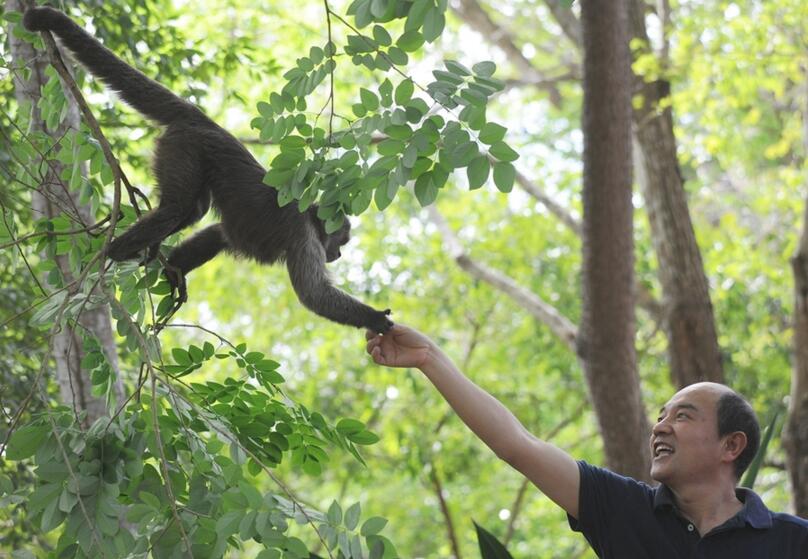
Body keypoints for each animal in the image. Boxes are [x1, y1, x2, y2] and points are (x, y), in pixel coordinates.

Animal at [22, 5, 394, 332]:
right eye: (340, 240)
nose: (339, 254)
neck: (312, 219)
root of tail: (205, 121)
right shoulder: (305, 237)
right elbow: (313, 294)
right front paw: (375, 319)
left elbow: (220, 234)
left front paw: (175, 268)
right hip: (185, 148)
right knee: (179, 208)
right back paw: (116, 250)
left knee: (193, 210)